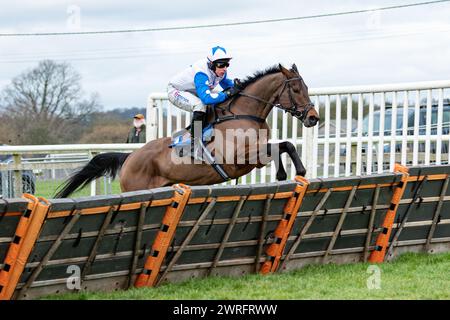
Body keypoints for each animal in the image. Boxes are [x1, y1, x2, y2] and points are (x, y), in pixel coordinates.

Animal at [54, 63, 318, 198]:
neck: (243, 113)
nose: (313, 118)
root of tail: (130, 157)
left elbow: (282, 146)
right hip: (137, 188)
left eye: (306, 87)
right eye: (296, 89)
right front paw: (295, 171)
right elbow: (282, 146)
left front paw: (288, 173)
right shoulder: (240, 158)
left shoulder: (254, 158)